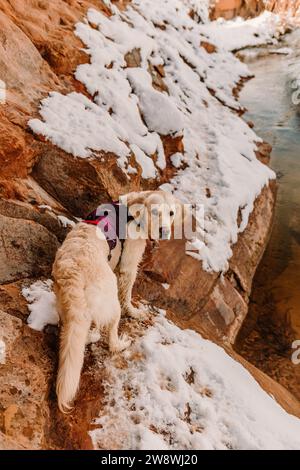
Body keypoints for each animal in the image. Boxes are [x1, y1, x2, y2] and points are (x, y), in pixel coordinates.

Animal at [52, 190, 182, 412]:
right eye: (156, 212)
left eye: (171, 213)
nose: (164, 231)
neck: (131, 209)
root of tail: (72, 274)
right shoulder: (128, 266)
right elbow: (127, 293)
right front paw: (135, 312)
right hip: (110, 302)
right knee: (109, 336)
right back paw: (121, 343)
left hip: (70, 307)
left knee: (80, 333)